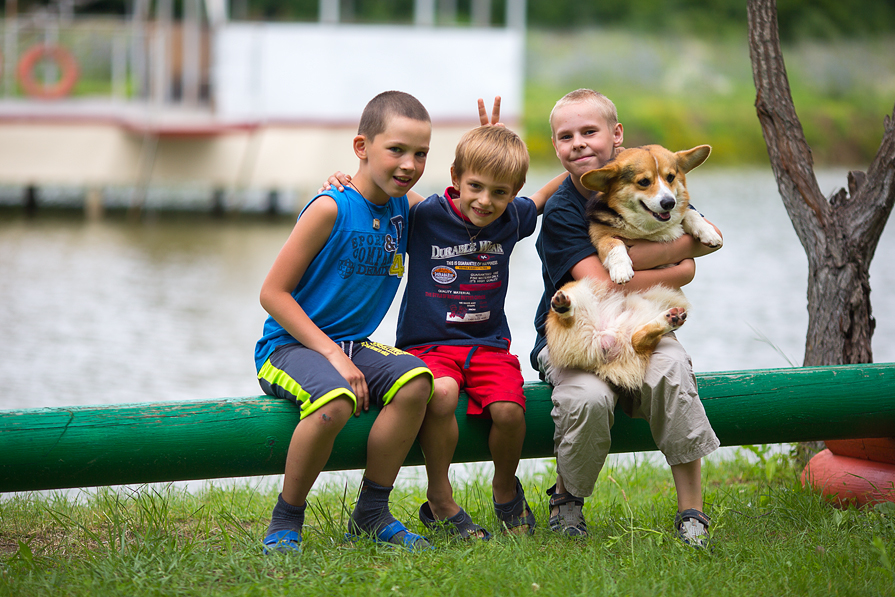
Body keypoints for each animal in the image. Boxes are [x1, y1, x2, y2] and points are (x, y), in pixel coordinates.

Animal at [580, 144, 720, 284]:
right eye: (644, 181)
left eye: (670, 177)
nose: (669, 203)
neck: (648, 228)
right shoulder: (599, 236)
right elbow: (613, 243)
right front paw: (621, 270)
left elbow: (691, 213)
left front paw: (709, 232)